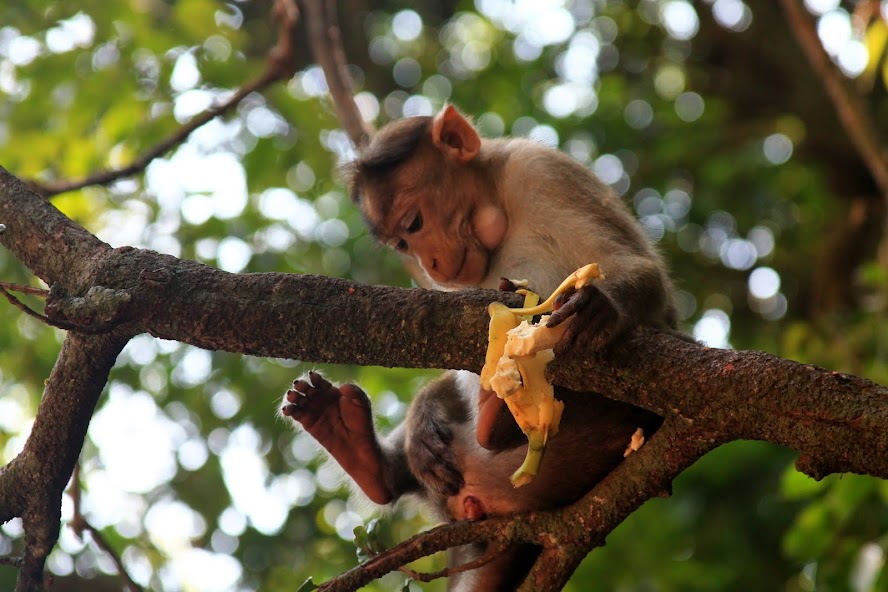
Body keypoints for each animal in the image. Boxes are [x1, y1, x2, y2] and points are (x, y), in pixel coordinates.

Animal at [280, 106, 676, 592]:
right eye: (403, 244)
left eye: (413, 223)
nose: (429, 263)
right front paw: (422, 419)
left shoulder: (540, 172)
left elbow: (639, 273)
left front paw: (601, 305)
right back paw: (357, 444)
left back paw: (496, 416)